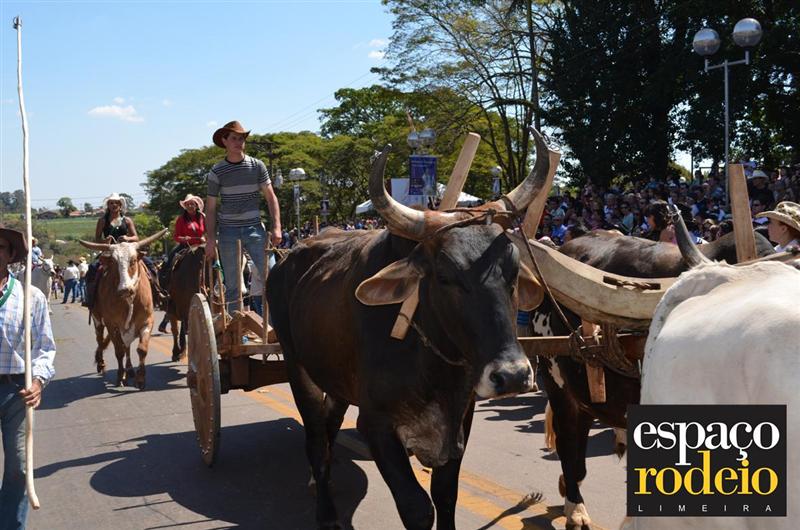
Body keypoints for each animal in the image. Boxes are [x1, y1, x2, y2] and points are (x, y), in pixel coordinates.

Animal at [79, 229, 167, 389]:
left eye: (133, 261)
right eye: (114, 263)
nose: (125, 289)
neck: (129, 300)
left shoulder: (147, 321)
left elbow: (141, 349)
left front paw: (140, 378)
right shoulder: (112, 324)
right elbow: (118, 351)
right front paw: (120, 376)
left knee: (126, 345)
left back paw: (130, 370)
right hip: (97, 319)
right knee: (100, 339)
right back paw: (102, 365)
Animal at [266, 131, 554, 530]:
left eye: (512, 271)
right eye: (445, 275)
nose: (512, 376)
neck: (435, 366)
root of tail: (289, 255)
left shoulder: (461, 419)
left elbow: (445, 494)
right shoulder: (377, 425)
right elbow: (417, 506)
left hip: (335, 378)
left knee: (328, 427)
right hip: (297, 367)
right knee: (314, 441)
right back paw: (326, 513)